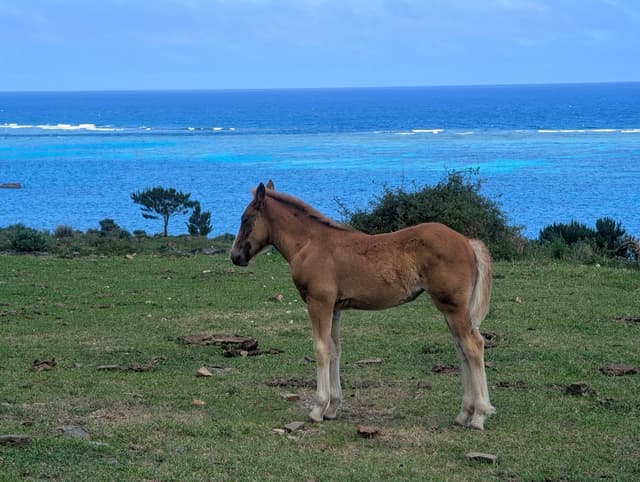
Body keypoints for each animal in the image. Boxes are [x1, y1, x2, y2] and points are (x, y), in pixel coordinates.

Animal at [230, 181, 495, 430]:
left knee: (473, 345)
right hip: (449, 308)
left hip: (453, 306)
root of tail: (467, 242)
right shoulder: (335, 308)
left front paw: (317, 408)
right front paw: (332, 407)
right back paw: (463, 414)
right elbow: (335, 350)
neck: (309, 243)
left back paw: (479, 416)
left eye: (246, 218)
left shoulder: (319, 302)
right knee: (461, 348)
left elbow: (321, 349)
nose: (235, 256)